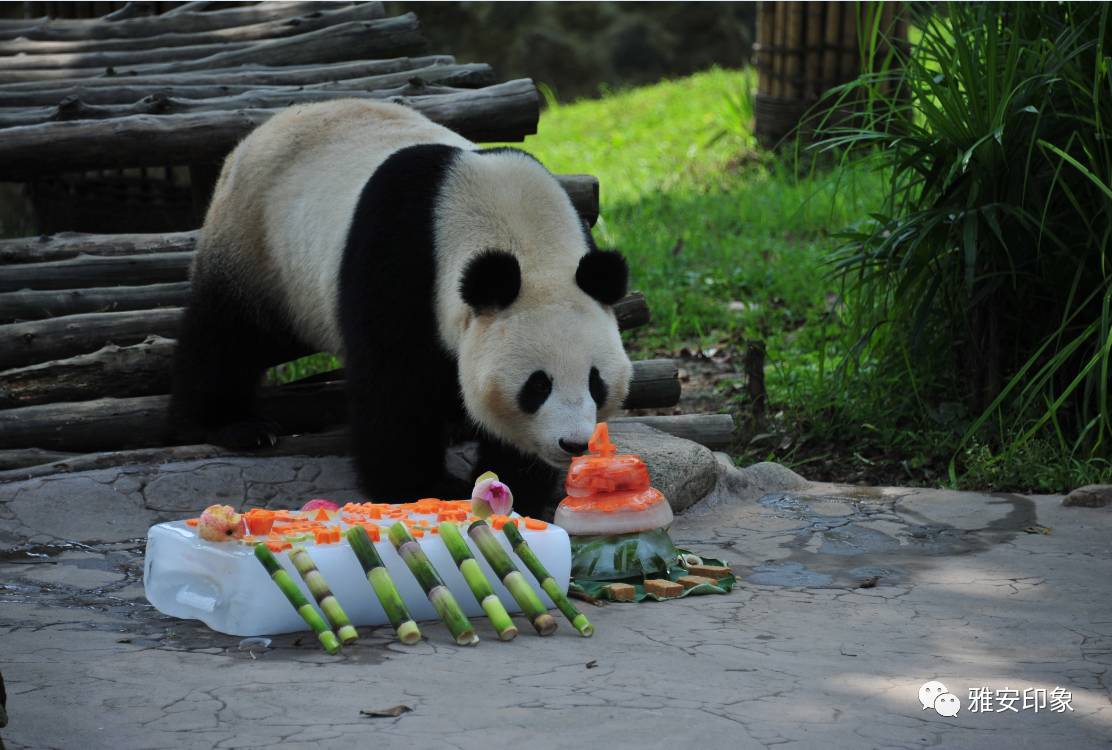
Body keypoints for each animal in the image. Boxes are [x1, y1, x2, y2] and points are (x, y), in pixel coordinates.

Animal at [167, 97, 631, 514]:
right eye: (537, 385)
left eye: (596, 382)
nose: (573, 443)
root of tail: (265, 127)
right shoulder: (400, 261)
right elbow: (393, 386)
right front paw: (423, 488)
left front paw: (516, 484)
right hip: (258, 242)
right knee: (228, 332)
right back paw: (234, 424)